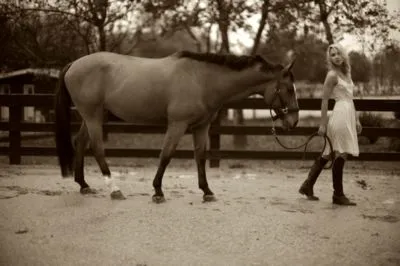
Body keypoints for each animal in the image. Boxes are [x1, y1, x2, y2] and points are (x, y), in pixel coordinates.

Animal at [54, 51, 298, 203]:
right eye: (288, 89)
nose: (294, 121)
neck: (202, 80)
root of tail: (73, 64)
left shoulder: (201, 127)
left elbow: (200, 157)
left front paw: (207, 191)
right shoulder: (177, 125)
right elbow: (166, 155)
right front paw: (157, 191)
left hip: (92, 117)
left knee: (80, 142)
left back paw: (83, 185)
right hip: (93, 116)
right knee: (97, 148)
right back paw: (114, 189)